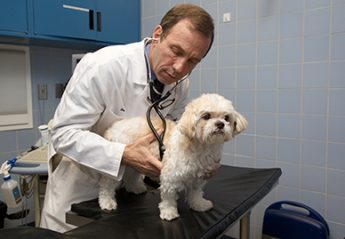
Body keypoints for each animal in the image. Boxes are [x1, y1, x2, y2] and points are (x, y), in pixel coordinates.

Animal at [98, 93, 246, 220]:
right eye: (206, 116)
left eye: (226, 118)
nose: (220, 124)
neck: (201, 147)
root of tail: (113, 127)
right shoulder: (170, 177)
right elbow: (168, 197)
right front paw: (169, 212)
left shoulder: (198, 177)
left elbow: (196, 193)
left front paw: (199, 205)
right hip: (122, 160)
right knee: (106, 184)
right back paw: (107, 201)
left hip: (136, 160)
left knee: (131, 174)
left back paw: (135, 187)